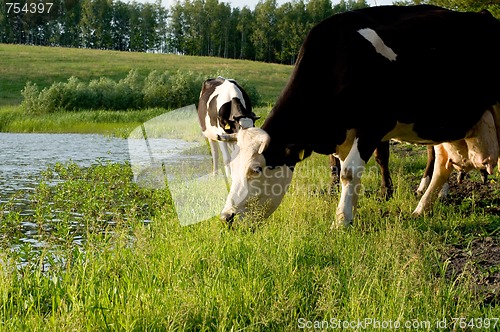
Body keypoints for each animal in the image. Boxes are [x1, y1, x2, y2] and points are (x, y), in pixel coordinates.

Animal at [218, 5, 500, 228]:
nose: (226, 218)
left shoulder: (374, 126)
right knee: (442, 163)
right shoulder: (346, 135)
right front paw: (350, 211)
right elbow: (346, 171)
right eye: (232, 166)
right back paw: (422, 209)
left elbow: (350, 172)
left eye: (256, 169)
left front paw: (341, 221)